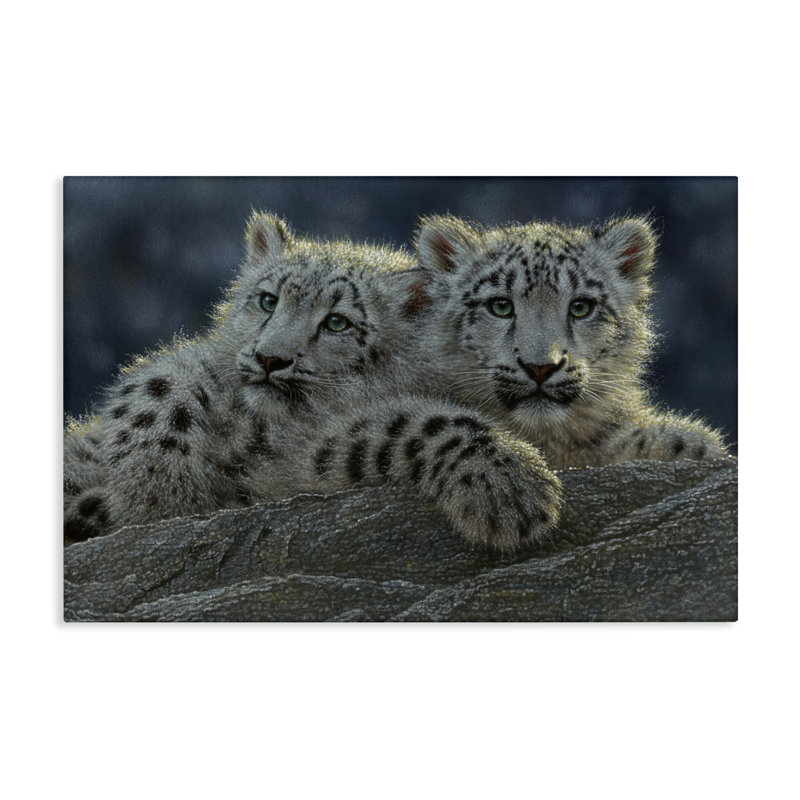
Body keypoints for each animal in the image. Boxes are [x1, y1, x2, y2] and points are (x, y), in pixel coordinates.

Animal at [64, 211, 561, 552]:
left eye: (337, 322)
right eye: (268, 300)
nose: (269, 358)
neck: (257, 431)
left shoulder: (302, 461)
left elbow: (415, 422)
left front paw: (514, 486)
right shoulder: (195, 368)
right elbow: (158, 386)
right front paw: (156, 489)